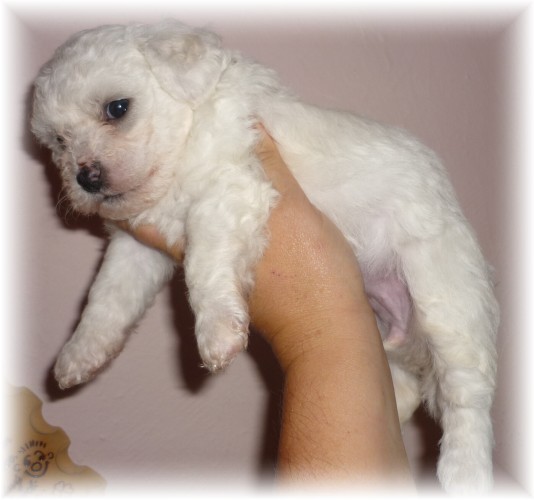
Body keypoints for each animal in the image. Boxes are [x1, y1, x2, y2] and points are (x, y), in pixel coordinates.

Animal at [31, 20, 499, 493]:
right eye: (59, 140)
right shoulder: (137, 248)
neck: (184, 146)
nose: (85, 177)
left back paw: (464, 470)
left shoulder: (229, 192)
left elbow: (203, 267)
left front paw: (217, 333)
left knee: (466, 393)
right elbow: (106, 299)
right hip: (393, 337)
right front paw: (78, 355)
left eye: (117, 108)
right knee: (403, 387)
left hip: (445, 296)